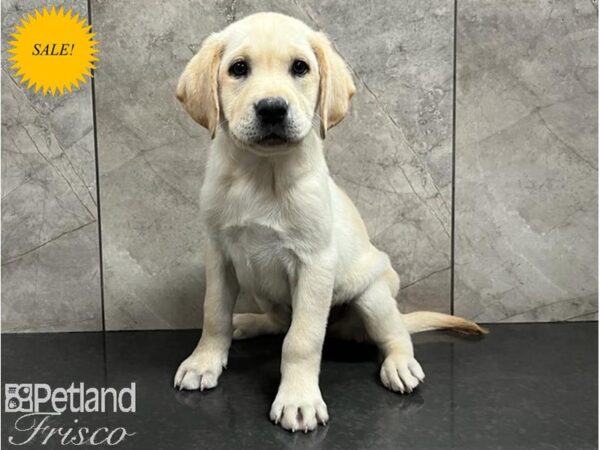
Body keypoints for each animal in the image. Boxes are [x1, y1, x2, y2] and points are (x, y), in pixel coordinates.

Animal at [172, 11, 482, 432]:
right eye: (238, 68)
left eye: (300, 67)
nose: (272, 108)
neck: (262, 173)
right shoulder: (219, 254)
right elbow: (213, 314)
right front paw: (204, 362)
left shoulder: (314, 263)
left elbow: (301, 340)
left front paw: (297, 399)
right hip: (262, 287)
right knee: (278, 320)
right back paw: (247, 322)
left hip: (372, 294)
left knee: (395, 333)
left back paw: (400, 364)